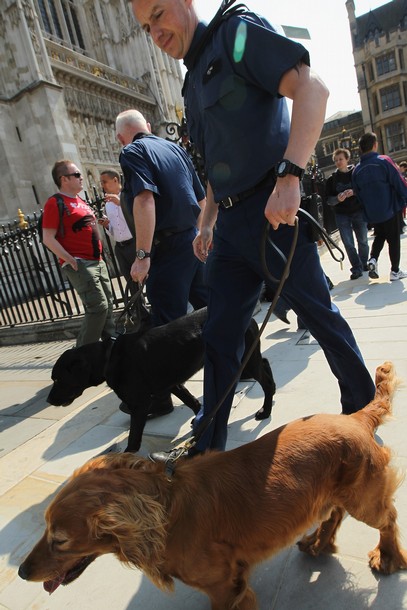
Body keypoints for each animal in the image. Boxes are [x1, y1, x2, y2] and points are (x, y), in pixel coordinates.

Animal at [19, 364, 407, 604]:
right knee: (333, 514)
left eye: (59, 539)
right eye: (45, 528)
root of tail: (356, 417)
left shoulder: (224, 586)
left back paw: (388, 556)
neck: (167, 511)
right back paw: (317, 542)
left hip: (365, 498)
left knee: (387, 518)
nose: (21, 572)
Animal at [48, 306, 278, 448]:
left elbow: (134, 438)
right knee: (266, 363)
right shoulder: (172, 384)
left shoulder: (139, 404)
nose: (49, 400)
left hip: (245, 360)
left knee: (264, 378)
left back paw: (266, 410)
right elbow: (193, 402)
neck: (109, 356)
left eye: (58, 379)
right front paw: (200, 422)